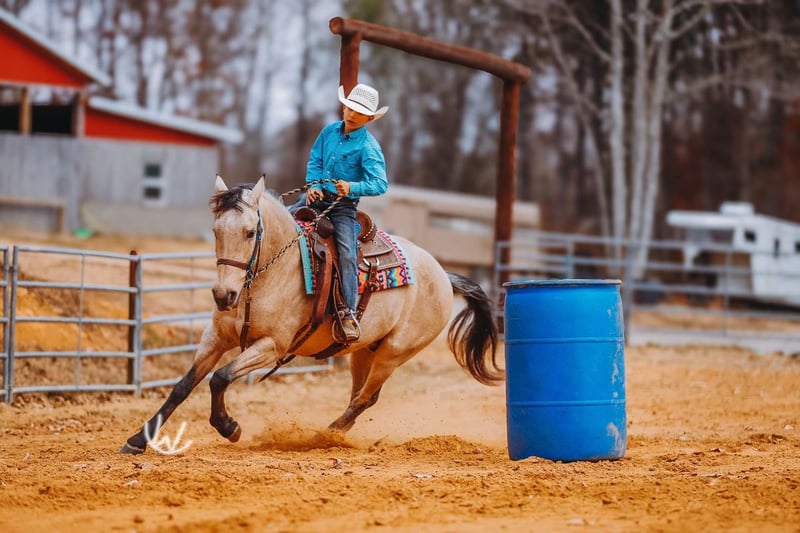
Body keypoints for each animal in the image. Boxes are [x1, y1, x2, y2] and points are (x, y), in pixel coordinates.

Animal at [120, 175, 503, 454]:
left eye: (249, 232)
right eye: (216, 231)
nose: (223, 295)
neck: (270, 273)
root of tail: (444, 275)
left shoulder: (271, 346)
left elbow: (220, 378)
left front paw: (230, 428)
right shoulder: (215, 337)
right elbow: (183, 386)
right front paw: (138, 440)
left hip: (395, 352)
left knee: (366, 397)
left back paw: (324, 435)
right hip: (363, 350)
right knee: (360, 395)